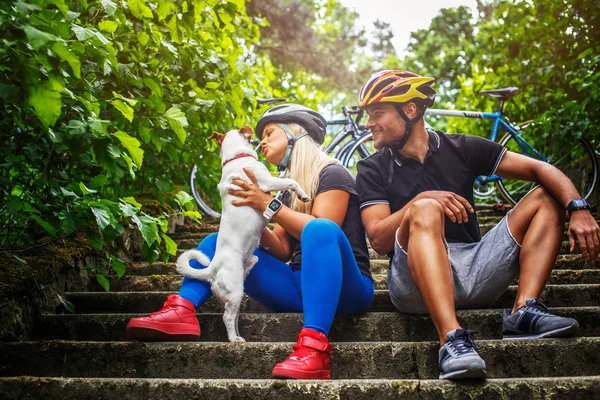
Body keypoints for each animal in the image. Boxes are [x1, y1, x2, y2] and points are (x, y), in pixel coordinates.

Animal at [175, 126, 310, 342]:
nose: (260, 141)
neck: (236, 158)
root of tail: (213, 269)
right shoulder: (266, 181)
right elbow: (291, 180)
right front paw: (302, 194)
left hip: (240, 283)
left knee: (234, 314)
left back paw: (238, 336)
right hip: (235, 289)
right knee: (227, 317)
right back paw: (233, 339)